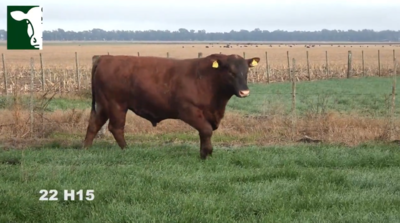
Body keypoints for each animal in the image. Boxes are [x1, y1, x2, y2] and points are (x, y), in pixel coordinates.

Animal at [83, 53, 260, 159]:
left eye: (246, 71)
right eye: (230, 72)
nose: (244, 91)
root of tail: (105, 58)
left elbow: (204, 132)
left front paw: (204, 152)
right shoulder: (188, 110)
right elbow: (206, 130)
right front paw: (206, 153)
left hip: (102, 105)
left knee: (94, 125)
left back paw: (86, 149)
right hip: (116, 105)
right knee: (116, 128)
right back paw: (126, 149)